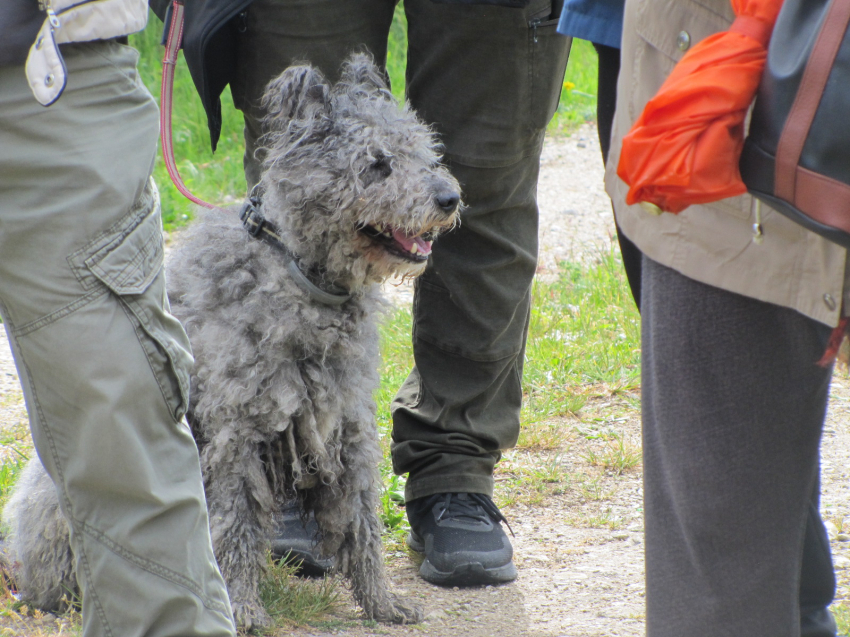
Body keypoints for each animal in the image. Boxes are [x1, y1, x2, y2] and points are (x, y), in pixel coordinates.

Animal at [3, 52, 460, 628]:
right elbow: (235, 524)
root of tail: (17, 564)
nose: (450, 197)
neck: (296, 275)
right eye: (377, 163)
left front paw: (381, 601)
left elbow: (361, 521)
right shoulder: (236, 434)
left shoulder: (346, 423)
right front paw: (242, 607)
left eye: (424, 152)